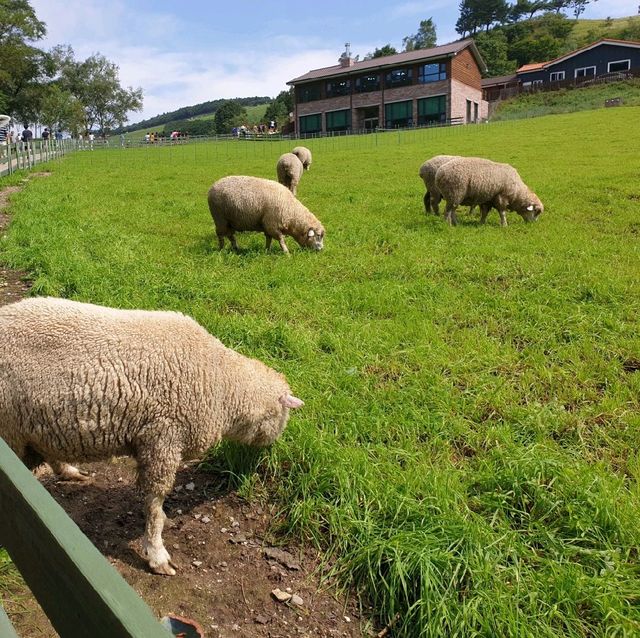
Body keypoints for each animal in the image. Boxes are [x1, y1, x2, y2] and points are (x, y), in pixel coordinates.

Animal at [0, 298, 304, 576]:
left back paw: (70, 472)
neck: (221, 385)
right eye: (284, 416)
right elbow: (155, 502)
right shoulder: (163, 438)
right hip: (9, 429)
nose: (270, 450)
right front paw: (157, 554)